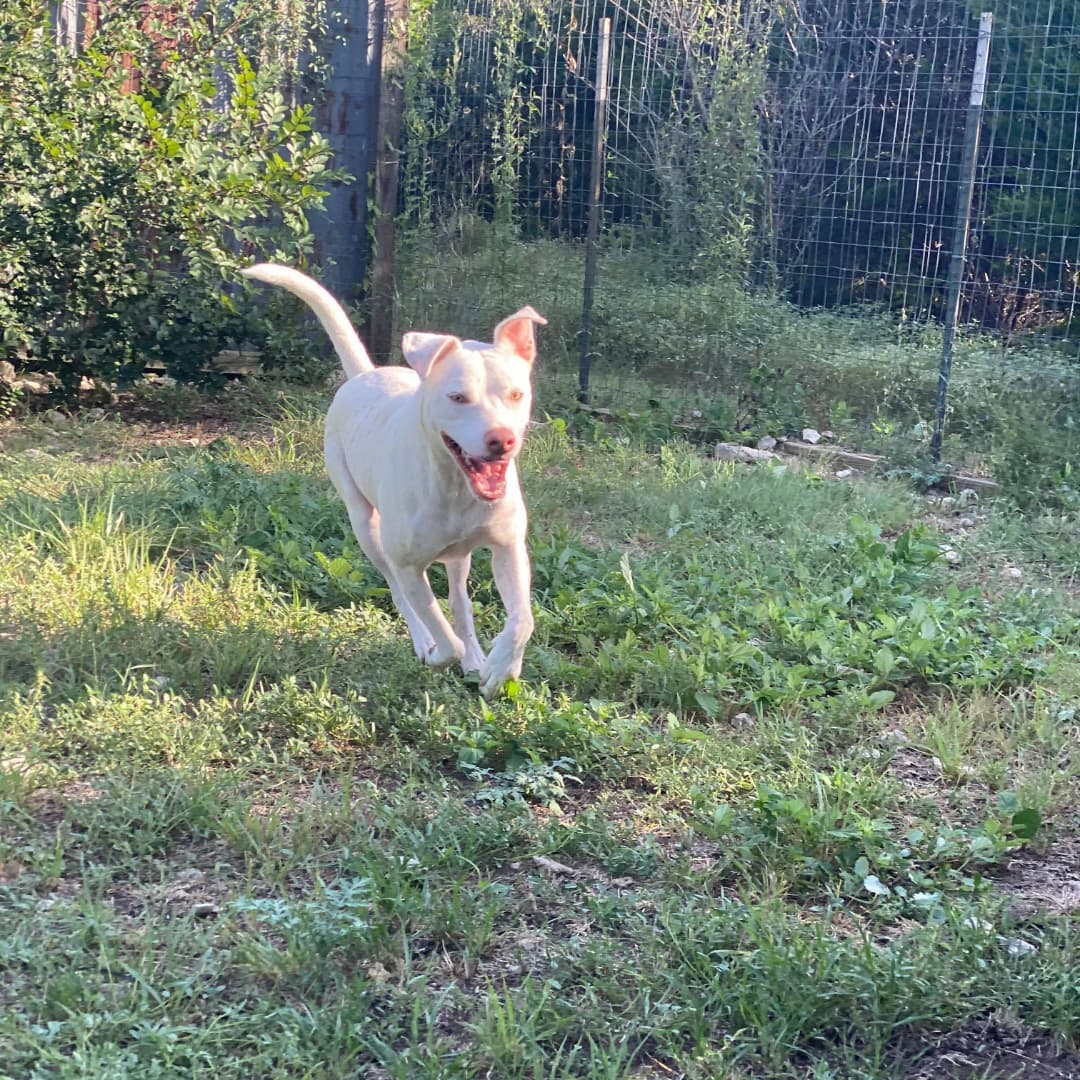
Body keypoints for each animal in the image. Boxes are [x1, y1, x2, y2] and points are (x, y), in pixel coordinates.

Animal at [245, 265, 548, 695]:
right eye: (458, 398)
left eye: (517, 394)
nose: (501, 440)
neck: (454, 486)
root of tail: (367, 375)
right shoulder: (408, 566)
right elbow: (436, 625)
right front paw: (438, 653)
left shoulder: (508, 547)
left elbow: (522, 618)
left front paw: (501, 668)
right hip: (365, 527)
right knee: (398, 590)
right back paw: (426, 642)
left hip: (458, 556)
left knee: (460, 600)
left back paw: (475, 657)